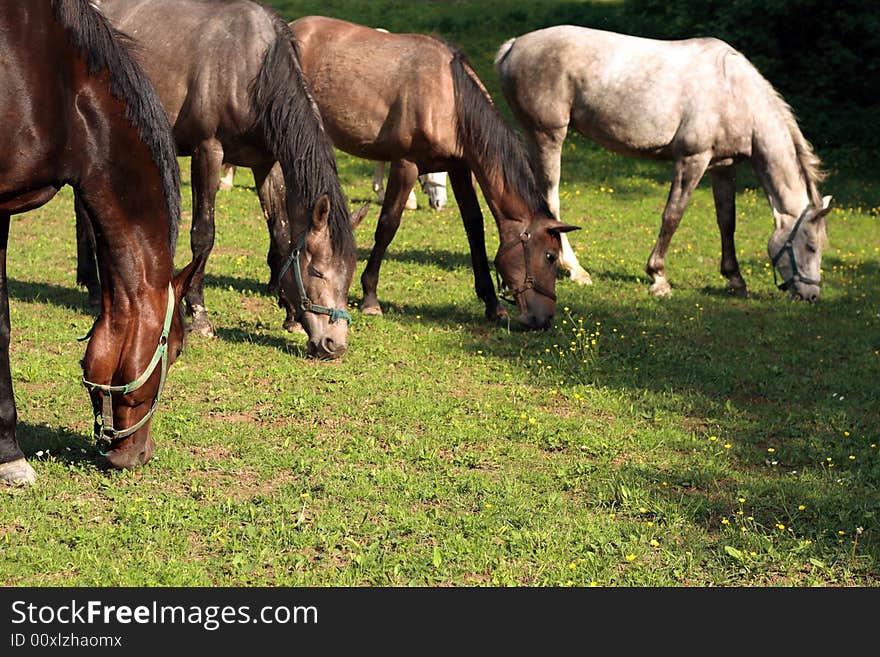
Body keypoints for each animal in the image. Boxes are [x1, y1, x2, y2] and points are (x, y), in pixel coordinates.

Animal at [78, 0, 360, 358]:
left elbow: (281, 237)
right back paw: (93, 286)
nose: (333, 345)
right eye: (318, 271)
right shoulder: (208, 151)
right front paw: (199, 314)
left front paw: (291, 314)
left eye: (349, 275)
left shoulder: (266, 164)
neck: (253, 69)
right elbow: (203, 235)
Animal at [288, 16, 580, 328]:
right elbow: (388, 225)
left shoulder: (459, 168)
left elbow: (474, 226)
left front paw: (492, 303)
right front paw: (370, 298)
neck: (449, 99)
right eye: (550, 256)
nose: (544, 319)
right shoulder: (405, 164)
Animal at [496, 25, 832, 300]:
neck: (734, 92)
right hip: (548, 137)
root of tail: (513, 46)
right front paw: (658, 278)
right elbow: (672, 216)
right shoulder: (692, 160)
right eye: (811, 246)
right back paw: (575, 270)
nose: (811, 295)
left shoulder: (723, 167)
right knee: (550, 199)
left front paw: (735, 279)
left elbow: (727, 222)